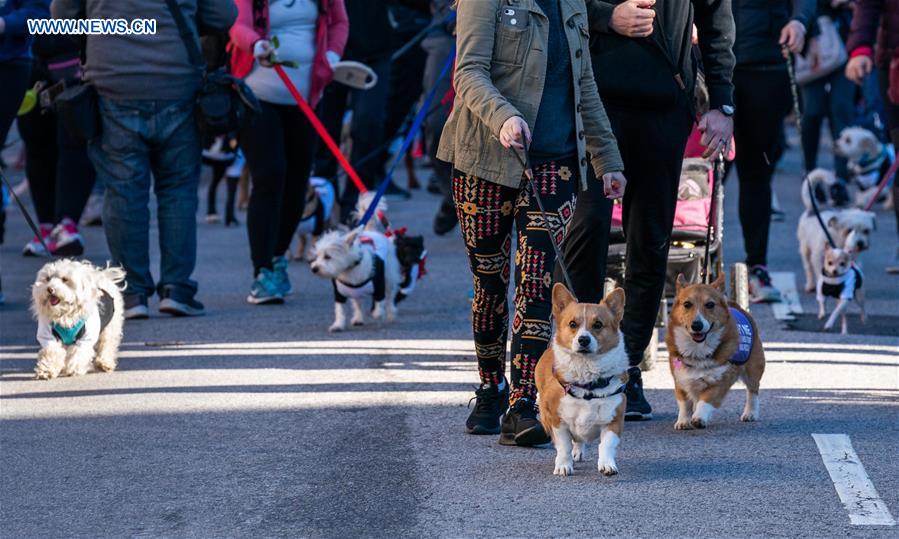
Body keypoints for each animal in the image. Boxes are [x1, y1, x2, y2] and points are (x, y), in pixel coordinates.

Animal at [536, 286, 628, 476]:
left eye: (598, 324)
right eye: (572, 324)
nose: (583, 339)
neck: (588, 384)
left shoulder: (614, 420)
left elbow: (606, 445)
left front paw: (607, 465)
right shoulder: (558, 421)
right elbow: (563, 446)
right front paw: (564, 465)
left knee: (580, 440)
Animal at [668, 274, 768, 430]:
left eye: (710, 304)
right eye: (687, 304)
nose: (697, 325)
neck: (697, 351)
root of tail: (736, 306)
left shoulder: (719, 382)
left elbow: (705, 401)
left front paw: (699, 418)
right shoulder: (681, 380)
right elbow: (685, 405)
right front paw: (683, 421)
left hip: (752, 370)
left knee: (753, 391)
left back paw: (750, 413)